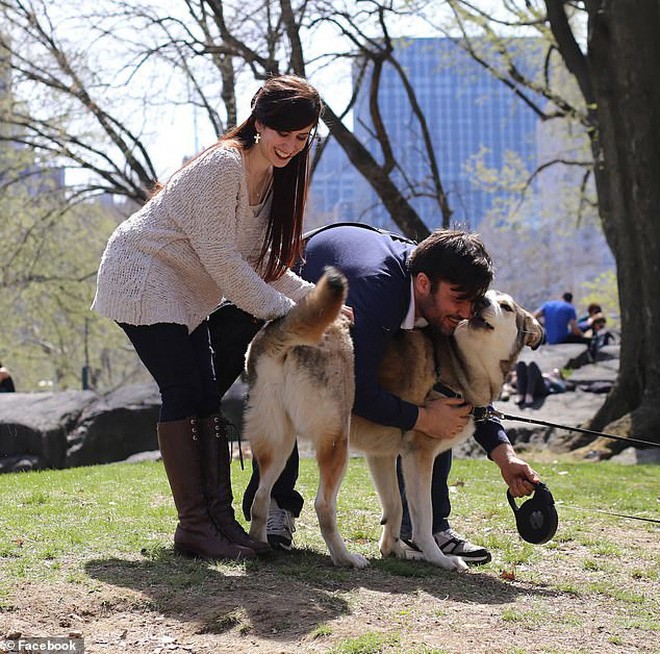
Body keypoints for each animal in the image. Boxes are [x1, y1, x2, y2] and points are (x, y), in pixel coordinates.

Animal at [245, 270, 544, 572]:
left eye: (505, 307)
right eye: (482, 297)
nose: (481, 303)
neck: (457, 359)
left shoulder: (382, 455)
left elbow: (395, 506)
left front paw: (395, 550)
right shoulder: (419, 454)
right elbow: (423, 516)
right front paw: (438, 557)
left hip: (278, 440)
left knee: (261, 497)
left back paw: (260, 546)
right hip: (336, 441)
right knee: (323, 506)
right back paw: (345, 557)